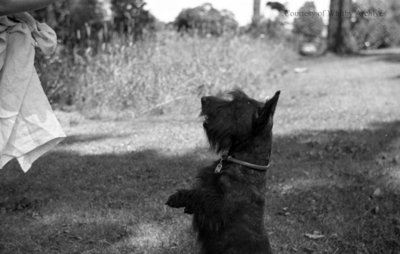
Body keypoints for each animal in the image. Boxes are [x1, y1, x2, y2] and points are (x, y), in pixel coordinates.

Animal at [167, 90, 280, 254]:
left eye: (236, 106)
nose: (203, 99)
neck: (243, 162)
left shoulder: (218, 209)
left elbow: (201, 194)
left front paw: (178, 197)